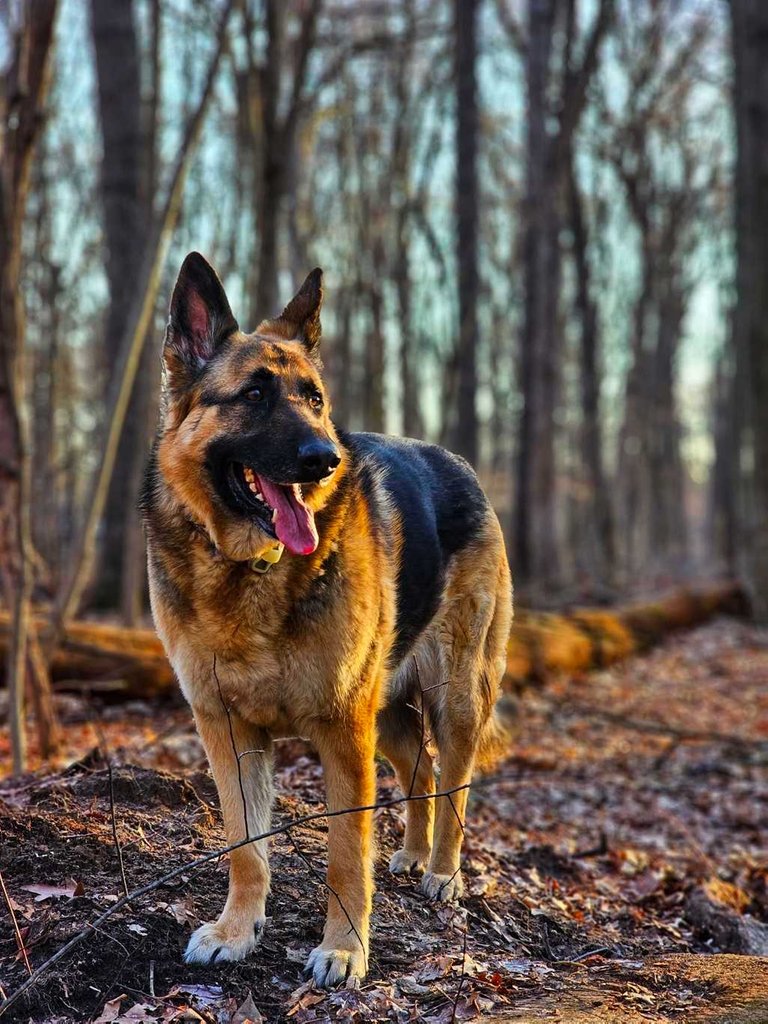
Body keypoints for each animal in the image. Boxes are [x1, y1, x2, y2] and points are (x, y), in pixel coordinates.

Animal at [141, 252, 513, 988]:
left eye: (314, 398)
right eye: (254, 395)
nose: (325, 458)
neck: (251, 569)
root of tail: (459, 462)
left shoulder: (343, 732)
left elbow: (346, 853)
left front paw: (344, 949)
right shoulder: (227, 732)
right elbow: (245, 845)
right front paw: (237, 930)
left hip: (453, 697)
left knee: (456, 783)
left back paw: (443, 872)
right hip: (388, 713)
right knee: (421, 769)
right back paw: (413, 854)